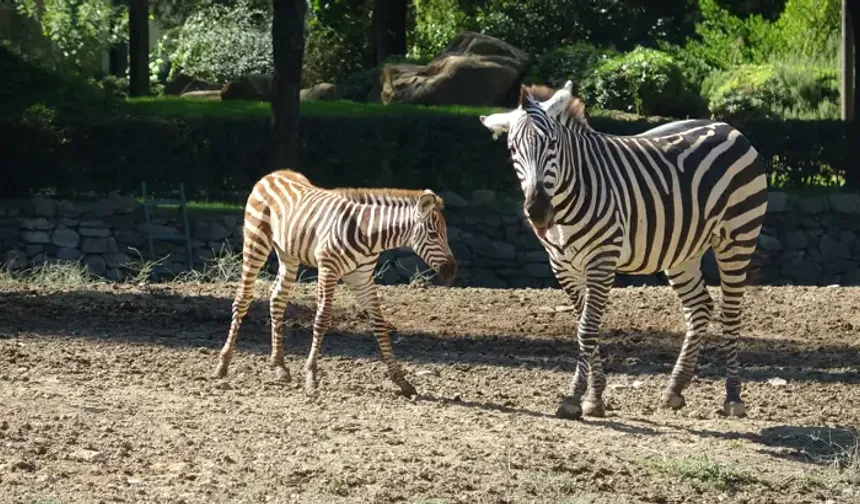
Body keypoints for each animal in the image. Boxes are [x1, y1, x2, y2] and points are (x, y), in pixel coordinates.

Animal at [212, 169, 457, 397]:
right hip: (256, 242)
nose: (452, 270)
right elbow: (322, 318)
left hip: (287, 253)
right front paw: (311, 376)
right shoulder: (328, 269)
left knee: (277, 299)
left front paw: (401, 381)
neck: (368, 233)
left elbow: (379, 324)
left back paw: (280, 366)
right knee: (242, 299)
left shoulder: (362, 278)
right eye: (433, 234)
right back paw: (222, 366)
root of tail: (273, 174)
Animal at [479, 81, 768, 420]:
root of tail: (727, 126)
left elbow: (587, 330)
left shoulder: (601, 261)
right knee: (700, 307)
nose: (538, 211)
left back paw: (733, 396)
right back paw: (675, 388)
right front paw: (595, 397)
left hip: (738, 236)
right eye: (513, 150)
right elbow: (583, 326)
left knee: (731, 313)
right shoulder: (563, 267)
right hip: (683, 251)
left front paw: (574, 397)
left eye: (552, 143)